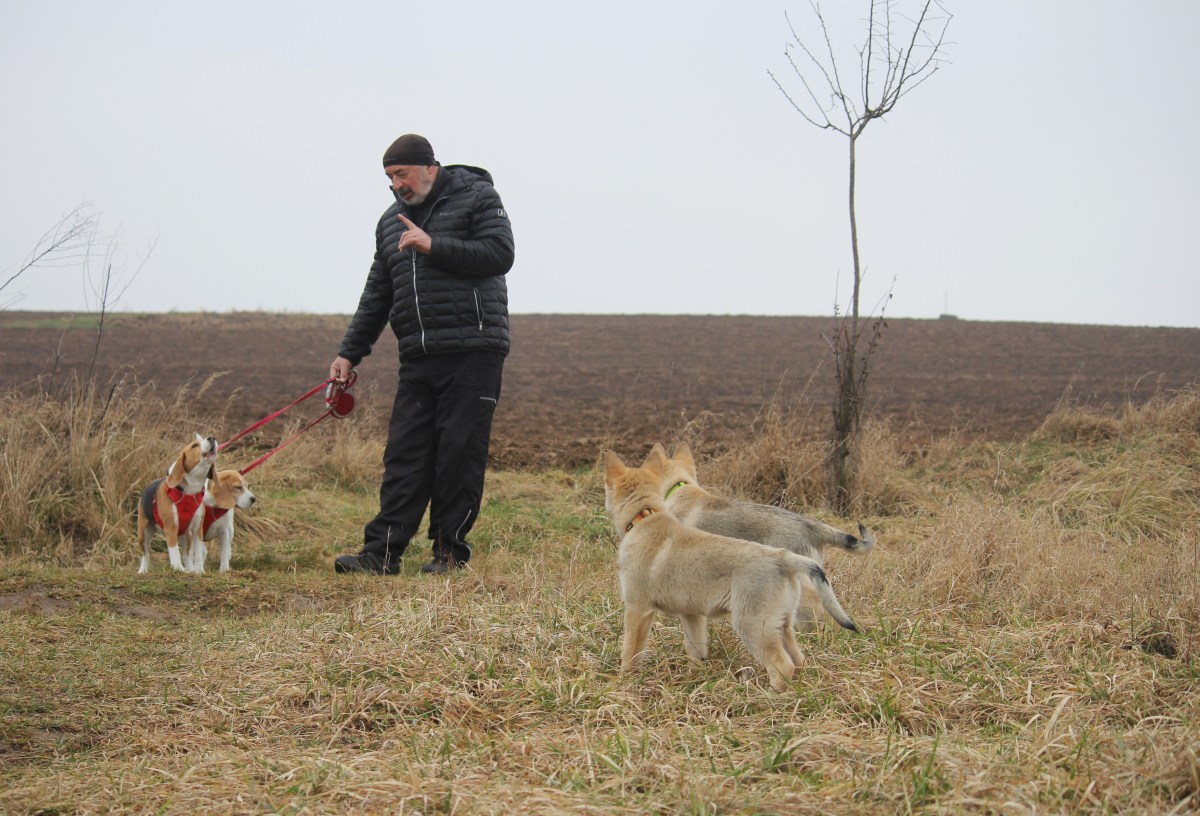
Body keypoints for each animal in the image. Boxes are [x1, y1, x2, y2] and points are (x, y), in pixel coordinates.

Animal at [137, 434, 219, 573]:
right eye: (194, 445)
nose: (212, 437)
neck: (188, 493)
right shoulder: (171, 528)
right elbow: (174, 551)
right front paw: (178, 568)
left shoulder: (197, 529)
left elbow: (197, 554)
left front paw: (199, 571)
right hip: (143, 533)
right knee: (145, 554)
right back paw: (142, 571)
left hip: (186, 535)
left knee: (187, 554)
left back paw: (190, 569)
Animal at [604, 448, 859, 691]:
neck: (645, 517)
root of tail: (782, 558)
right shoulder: (692, 614)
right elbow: (696, 649)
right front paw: (695, 678)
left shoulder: (637, 608)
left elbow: (631, 651)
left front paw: (623, 681)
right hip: (781, 625)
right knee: (798, 660)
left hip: (752, 625)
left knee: (782, 664)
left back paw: (767, 696)